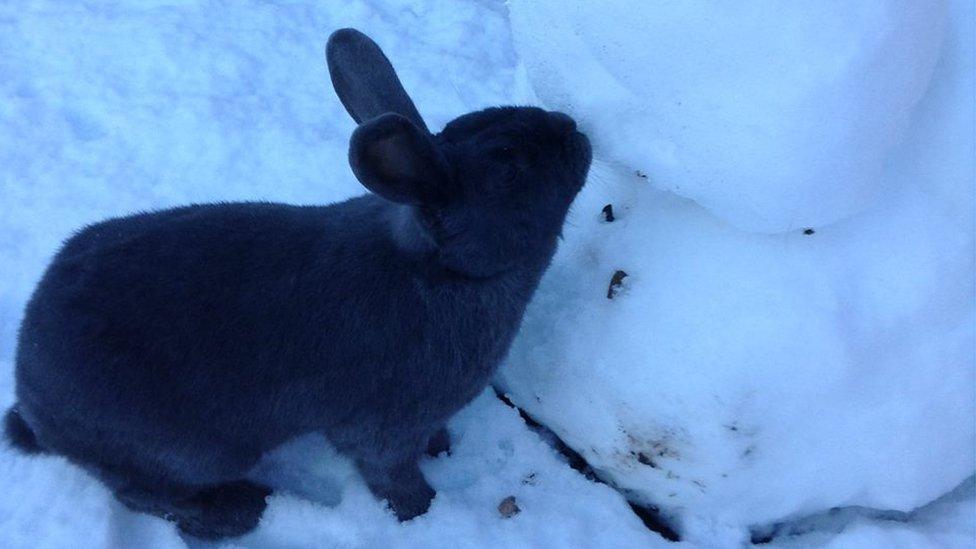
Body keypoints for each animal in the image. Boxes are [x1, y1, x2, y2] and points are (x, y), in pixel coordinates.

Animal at [3, 27, 592, 536]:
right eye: (510, 165)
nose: (573, 129)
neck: (443, 270)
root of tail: (31, 399)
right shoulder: (383, 429)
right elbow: (390, 475)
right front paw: (423, 512)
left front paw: (444, 447)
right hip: (193, 452)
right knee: (143, 493)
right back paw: (236, 512)